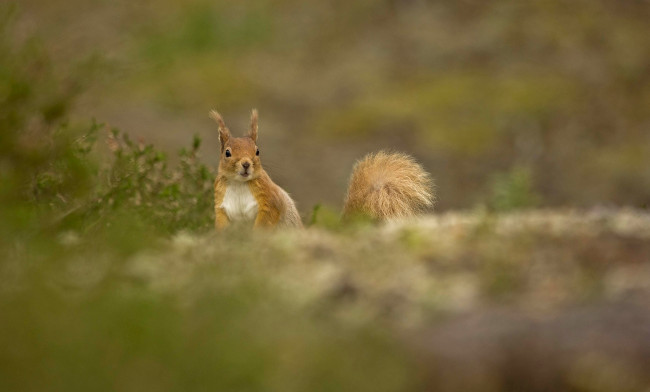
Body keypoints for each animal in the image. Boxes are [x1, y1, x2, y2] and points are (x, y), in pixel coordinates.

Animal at [210, 108, 432, 228]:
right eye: (227, 153)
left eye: (257, 151)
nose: (246, 164)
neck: (239, 185)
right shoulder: (221, 206)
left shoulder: (270, 200)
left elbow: (269, 218)